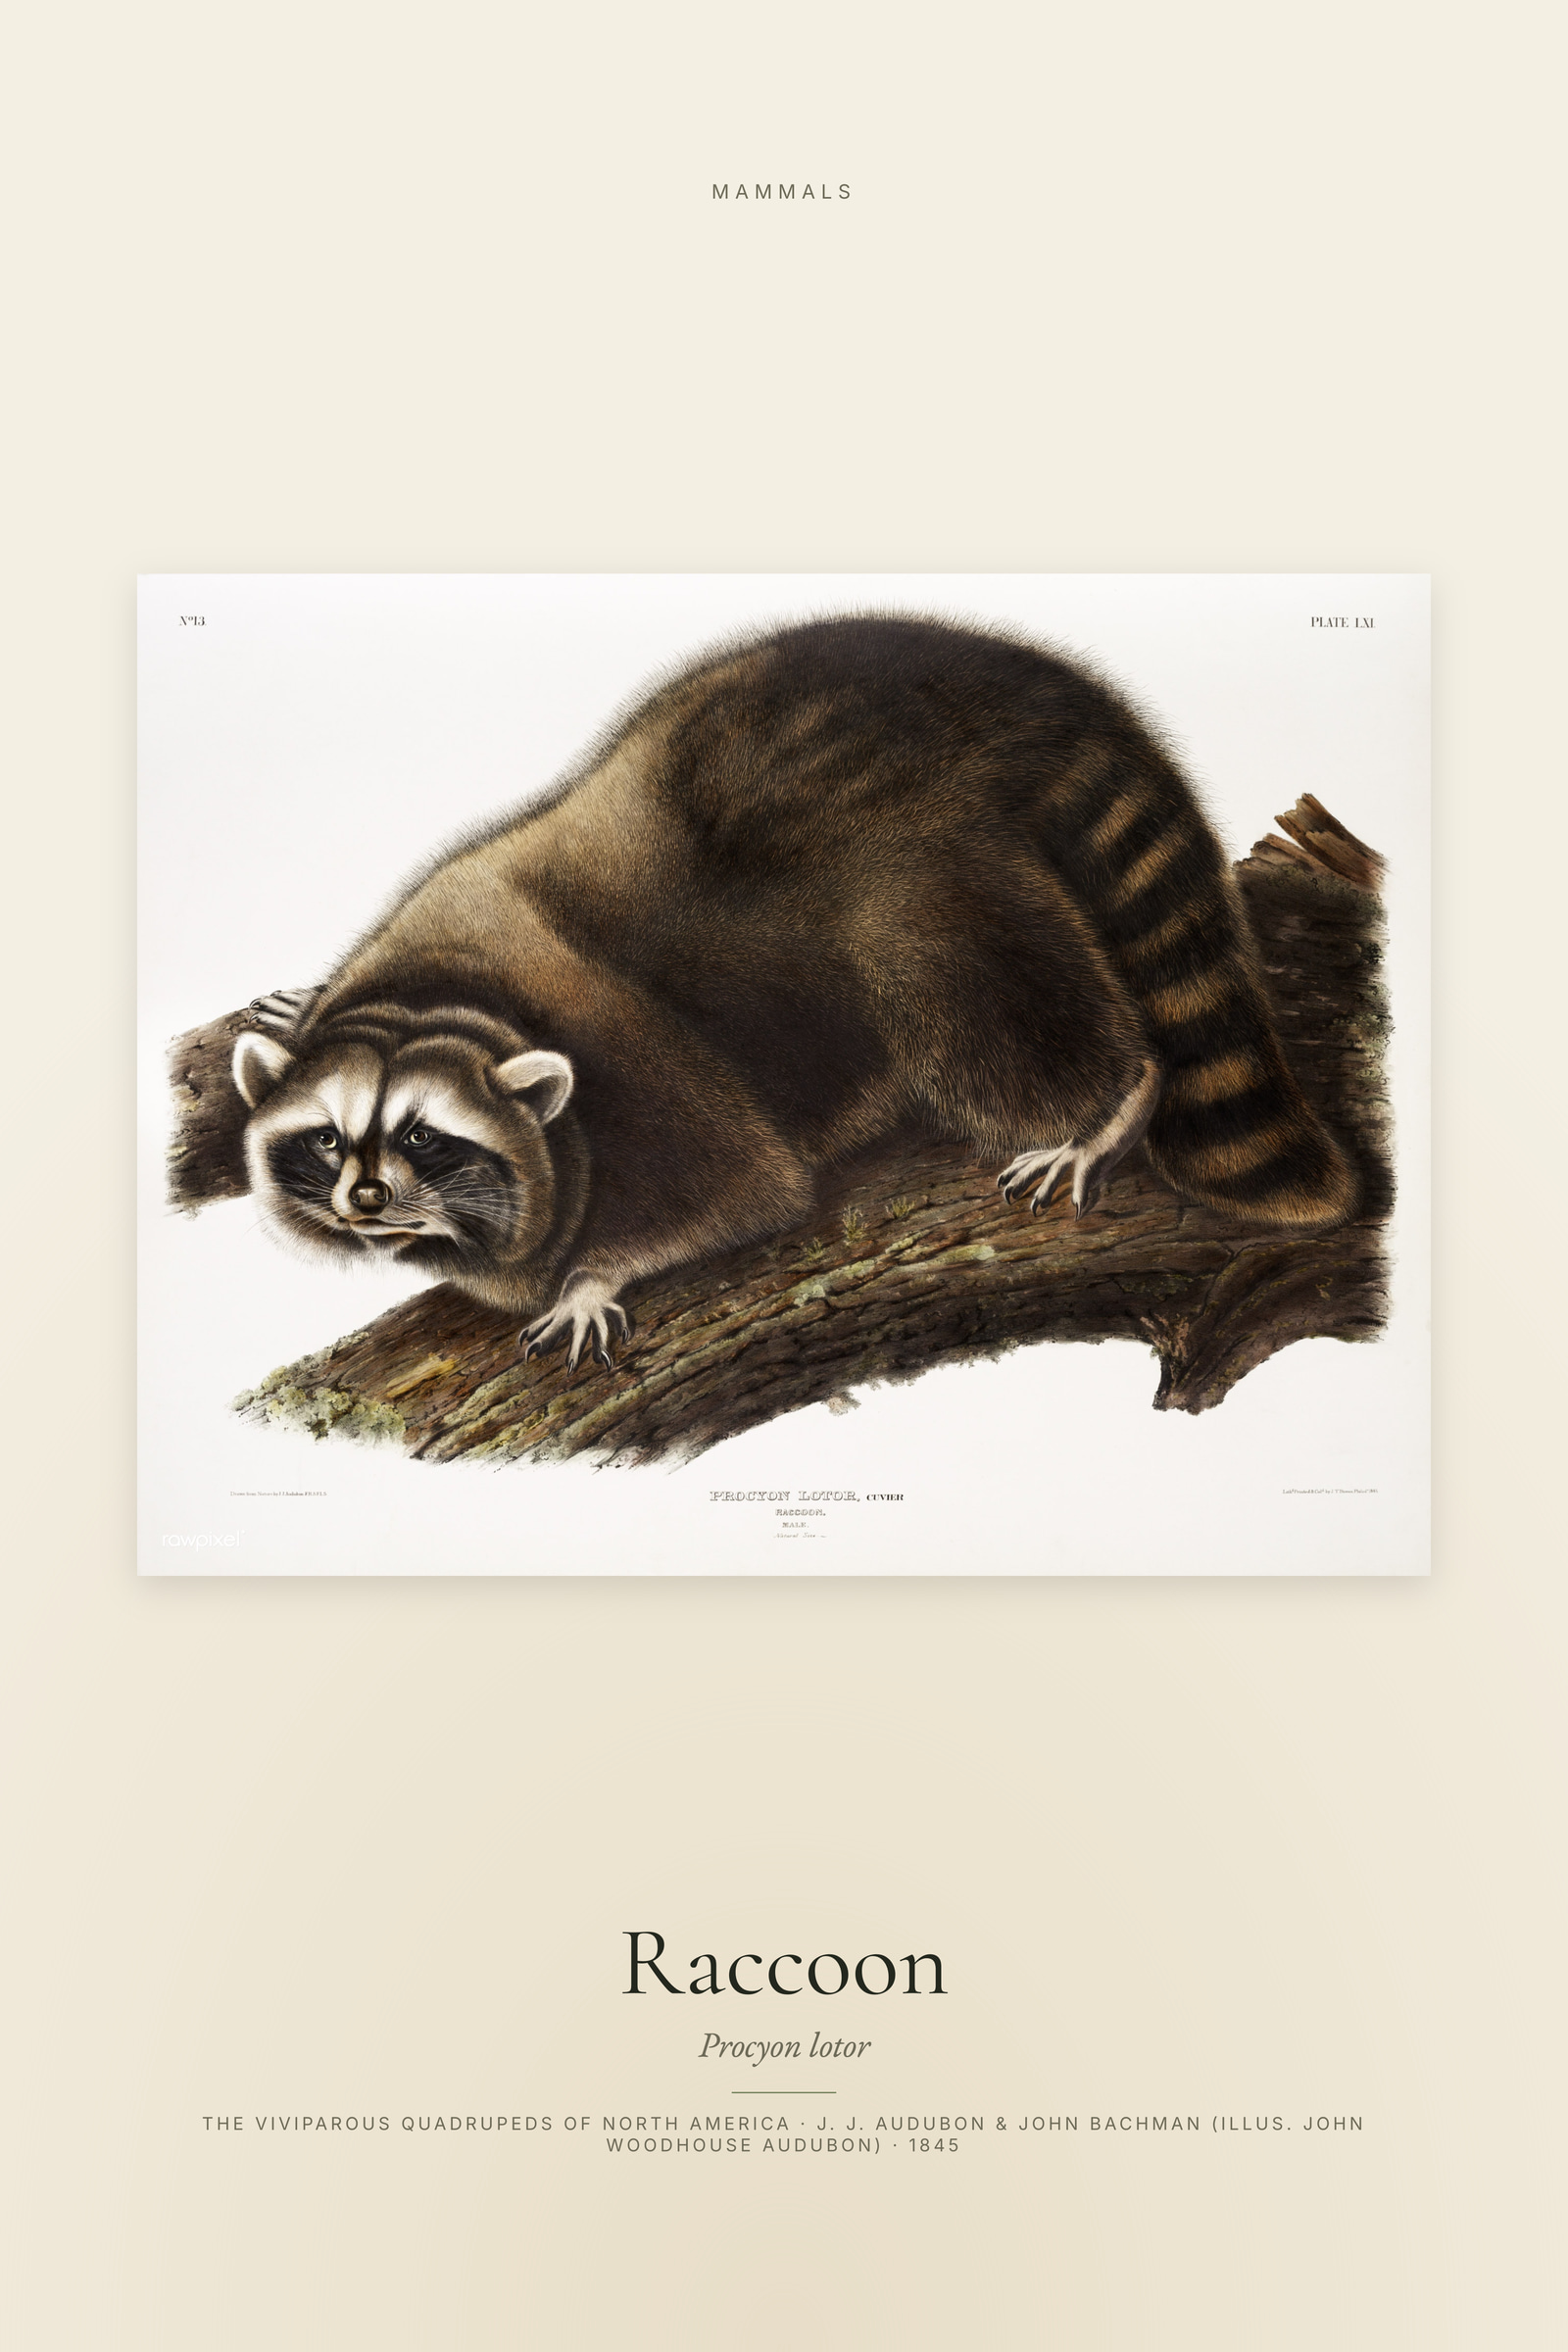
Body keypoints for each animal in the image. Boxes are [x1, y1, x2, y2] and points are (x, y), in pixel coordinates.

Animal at [232, 615, 1357, 1369]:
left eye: (425, 1137)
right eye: (328, 1139)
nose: (367, 1201)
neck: (444, 1001)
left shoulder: (636, 1064)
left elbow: (745, 1188)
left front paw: (596, 1273)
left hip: (915, 862)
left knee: (960, 983)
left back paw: (1109, 1099)